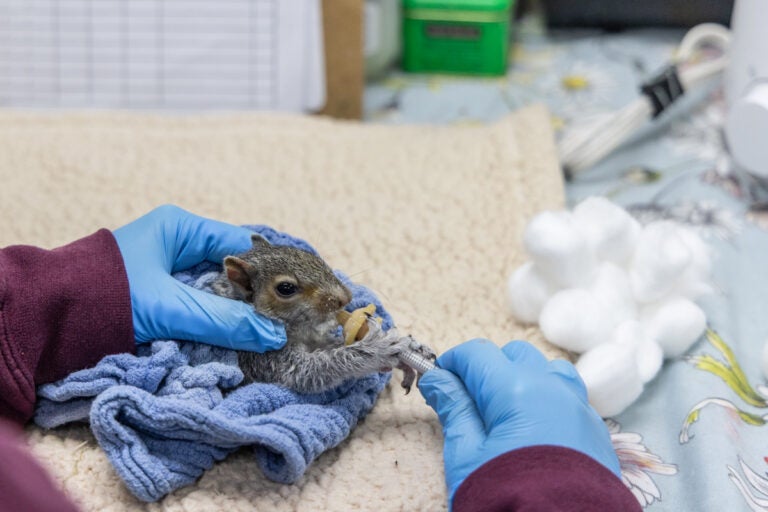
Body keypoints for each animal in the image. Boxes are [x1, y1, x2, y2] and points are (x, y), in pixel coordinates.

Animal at [211, 234, 432, 394]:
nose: (346, 298)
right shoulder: (261, 357)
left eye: (311, 256)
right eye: (285, 288)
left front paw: (412, 349)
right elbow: (310, 370)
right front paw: (378, 349)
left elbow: (332, 344)